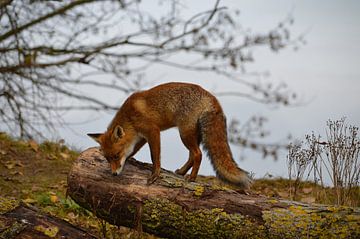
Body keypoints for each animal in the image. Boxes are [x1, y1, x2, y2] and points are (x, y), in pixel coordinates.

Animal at [88, 82, 250, 189]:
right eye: (108, 159)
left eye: (116, 156)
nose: (114, 174)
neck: (130, 117)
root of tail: (212, 97)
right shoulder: (141, 137)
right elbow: (133, 150)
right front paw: (130, 159)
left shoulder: (153, 131)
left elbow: (155, 156)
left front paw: (155, 174)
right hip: (192, 135)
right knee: (192, 155)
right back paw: (182, 172)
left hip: (184, 134)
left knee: (198, 154)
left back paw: (192, 178)